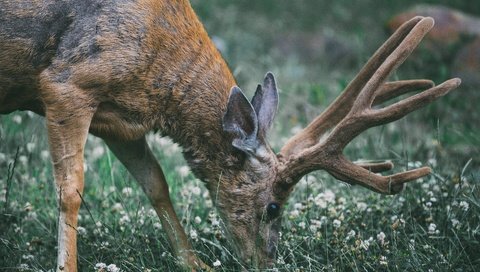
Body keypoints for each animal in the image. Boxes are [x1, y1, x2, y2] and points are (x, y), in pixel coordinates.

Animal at [0, 1, 462, 270]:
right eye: (274, 207)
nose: (266, 263)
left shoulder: (119, 120)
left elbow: (156, 183)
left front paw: (195, 264)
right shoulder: (67, 83)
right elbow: (70, 190)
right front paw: (66, 267)